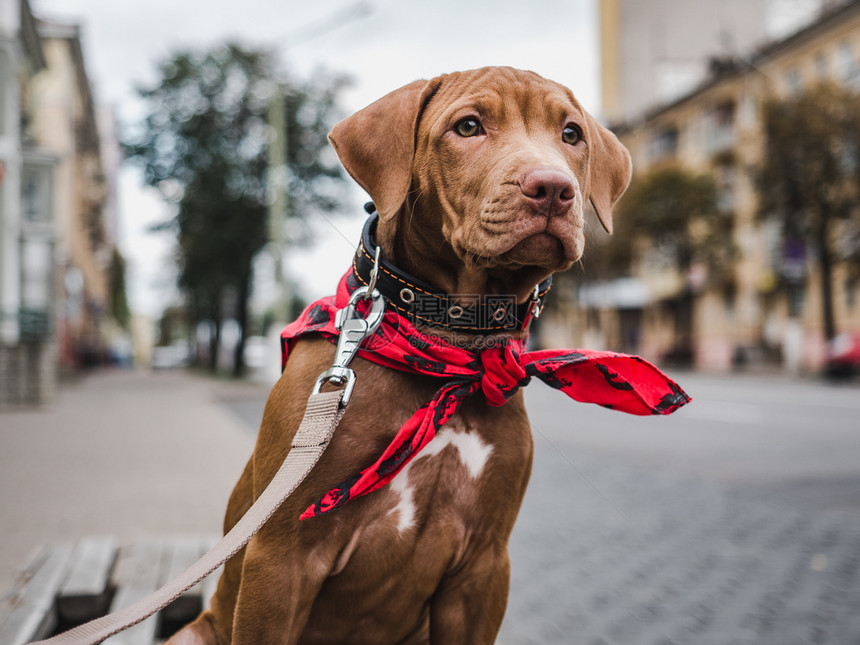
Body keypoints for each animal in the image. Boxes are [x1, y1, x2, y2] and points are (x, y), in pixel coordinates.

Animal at [168, 66, 628, 644]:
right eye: (468, 126)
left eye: (571, 134)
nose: (553, 188)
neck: (451, 346)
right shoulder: (279, 559)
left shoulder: (483, 567)